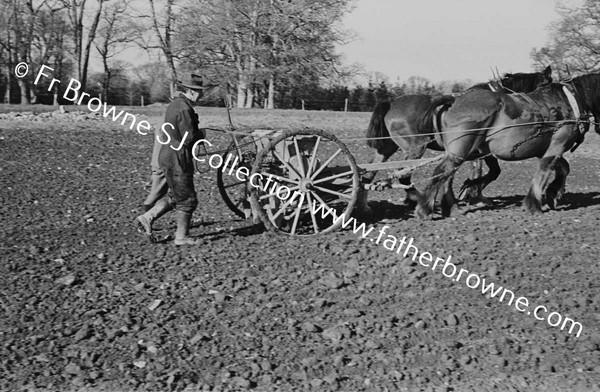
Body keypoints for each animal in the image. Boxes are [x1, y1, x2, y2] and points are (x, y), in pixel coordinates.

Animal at [356, 66, 552, 214]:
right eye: (546, 86)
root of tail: (390, 103)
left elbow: (462, 173)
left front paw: (468, 196)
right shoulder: (480, 150)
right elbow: (491, 171)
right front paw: (472, 194)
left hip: (387, 148)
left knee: (369, 173)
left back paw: (364, 207)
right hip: (415, 148)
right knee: (403, 175)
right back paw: (419, 200)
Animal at [412, 74, 600, 220]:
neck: (569, 101)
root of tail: (453, 100)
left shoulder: (546, 149)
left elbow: (563, 168)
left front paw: (553, 193)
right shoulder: (558, 144)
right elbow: (545, 170)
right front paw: (535, 203)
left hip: (458, 152)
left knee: (446, 175)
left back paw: (448, 206)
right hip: (459, 150)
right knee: (442, 172)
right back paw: (425, 209)